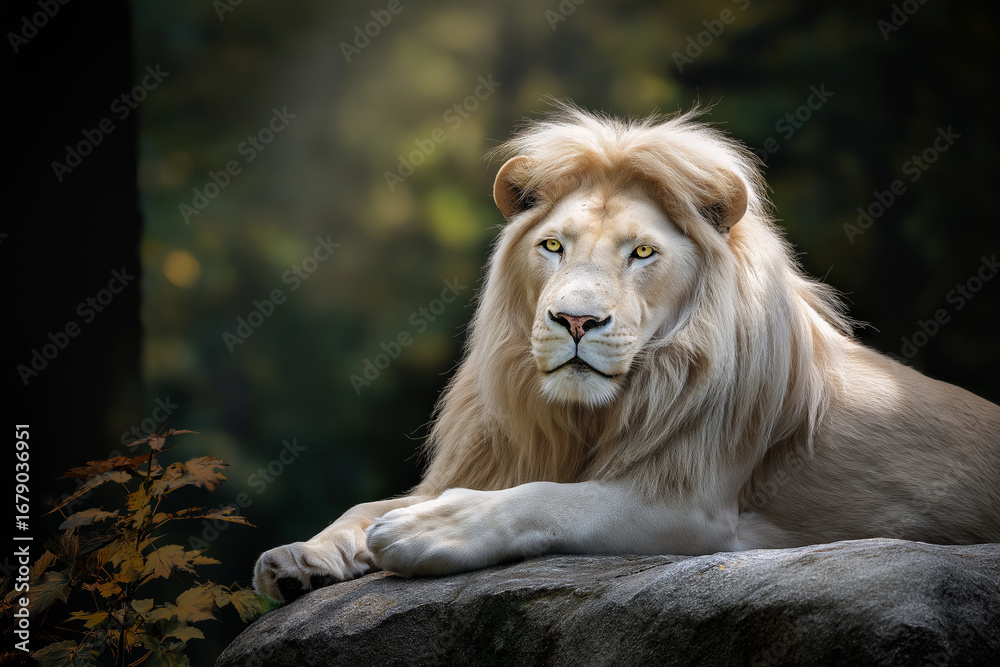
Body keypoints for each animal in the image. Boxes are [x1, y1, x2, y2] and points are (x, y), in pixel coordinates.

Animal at [253, 105, 1000, 602]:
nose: (576, 319)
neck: (585, 413)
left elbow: (554, 501)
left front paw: (432, 527)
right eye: (553, 245)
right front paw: (300, 554)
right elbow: (367, 506)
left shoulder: (694, 510)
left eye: (642, 252)